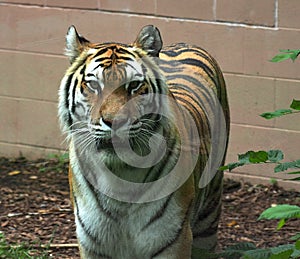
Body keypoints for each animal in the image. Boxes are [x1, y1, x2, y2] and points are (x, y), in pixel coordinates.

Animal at [58, 24, 231, 259]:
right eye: (93, 85)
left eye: (134, 85)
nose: (115, 121)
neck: (119, 179)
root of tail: (185, 43)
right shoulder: (92, 244)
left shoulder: (173, 241)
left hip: (209, 216)